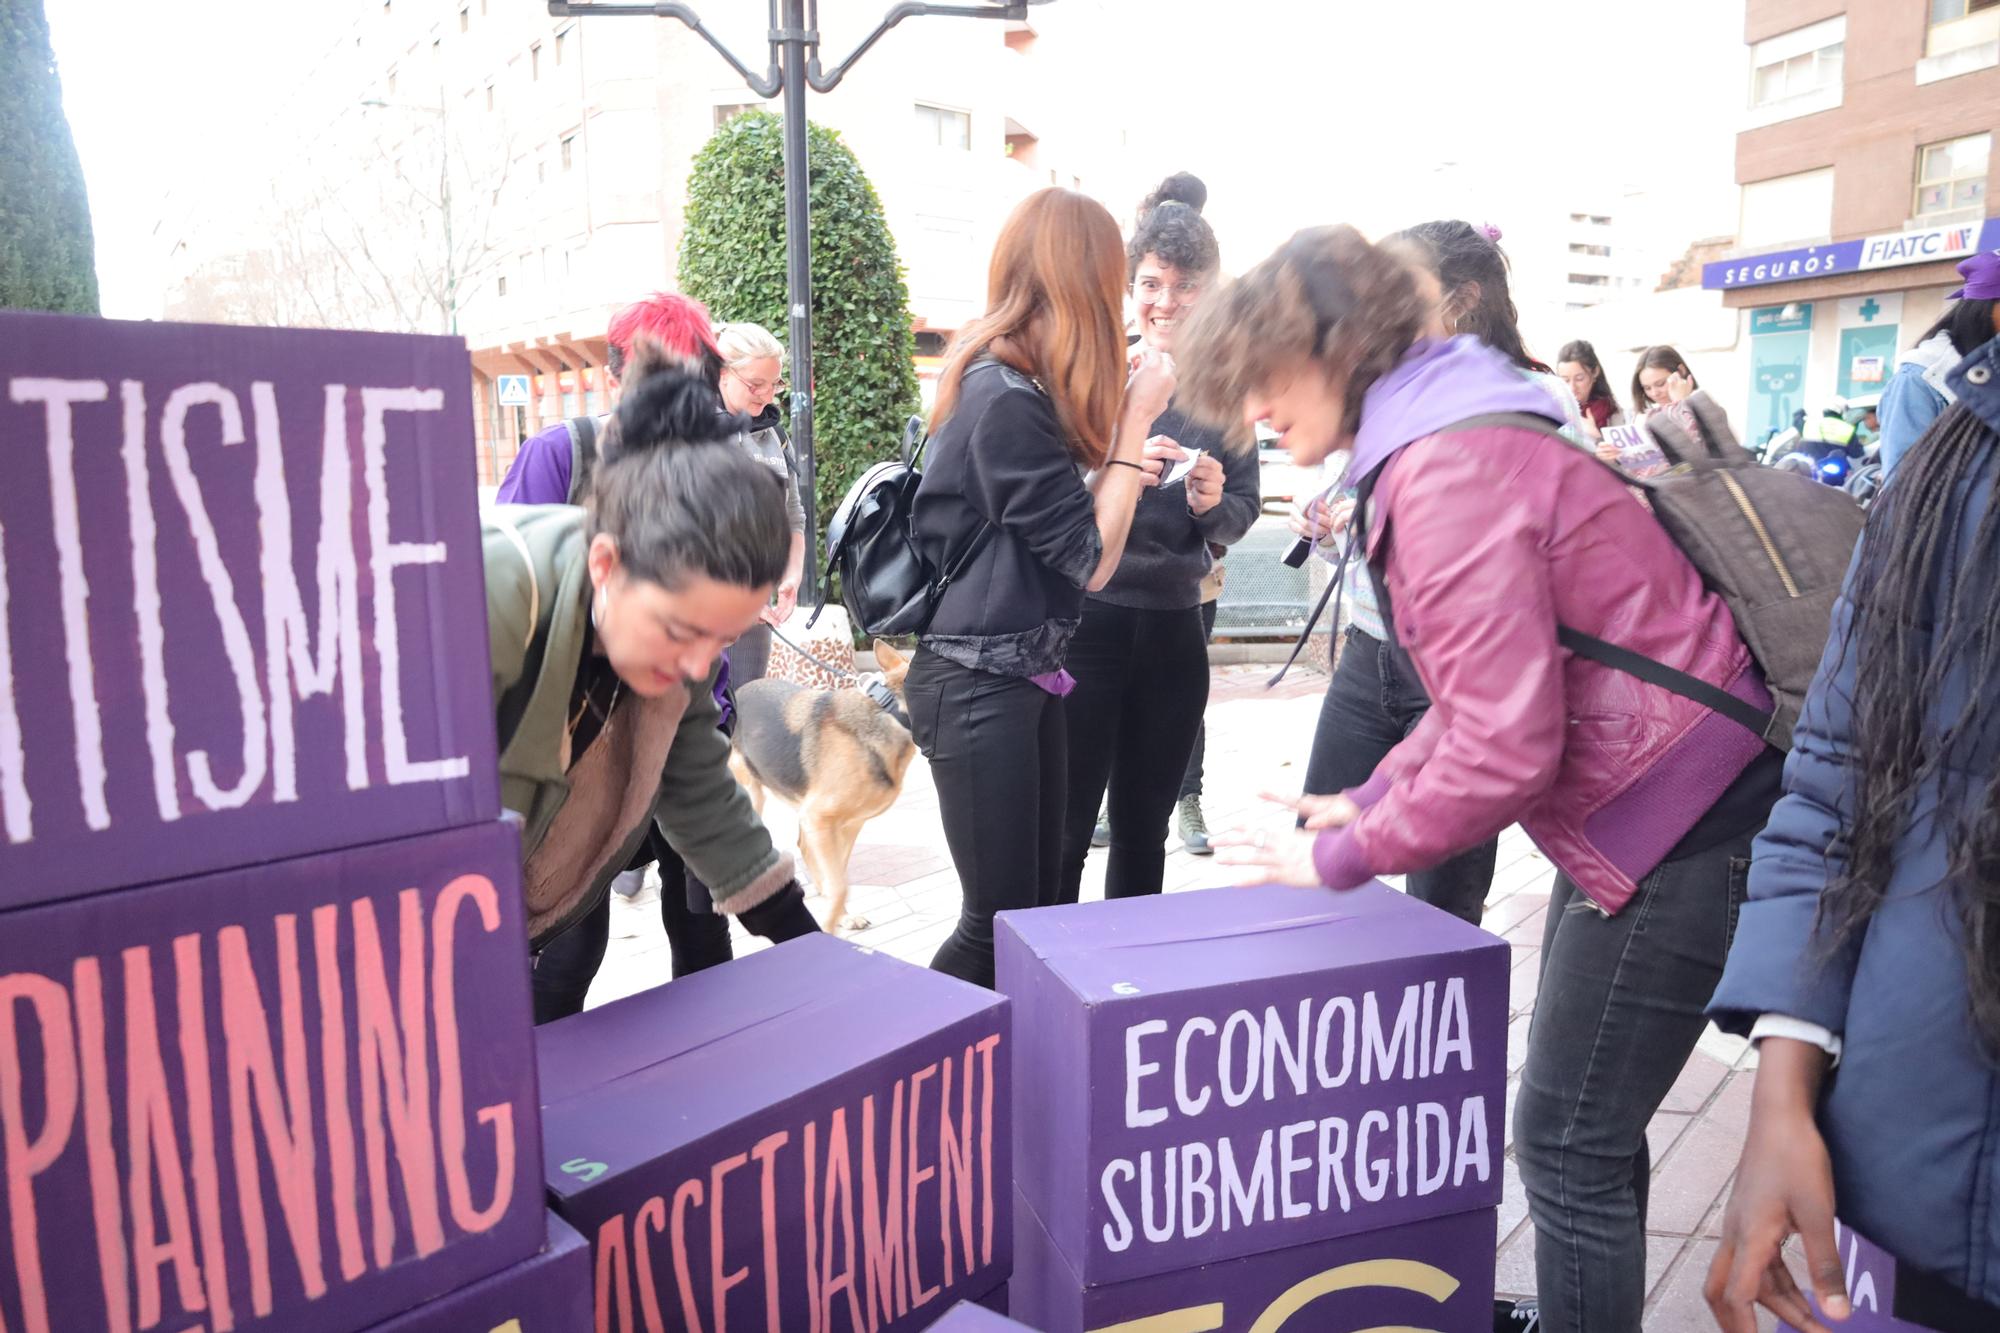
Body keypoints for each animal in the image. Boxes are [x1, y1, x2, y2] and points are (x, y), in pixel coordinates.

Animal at [728, 640, 916, 928]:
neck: (891, 712)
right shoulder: (819, 818)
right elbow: (839, 885)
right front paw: (829, 924)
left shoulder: (846, 824)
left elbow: (838, 877)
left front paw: (840, 917)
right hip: (752, 796)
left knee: (806, 849)